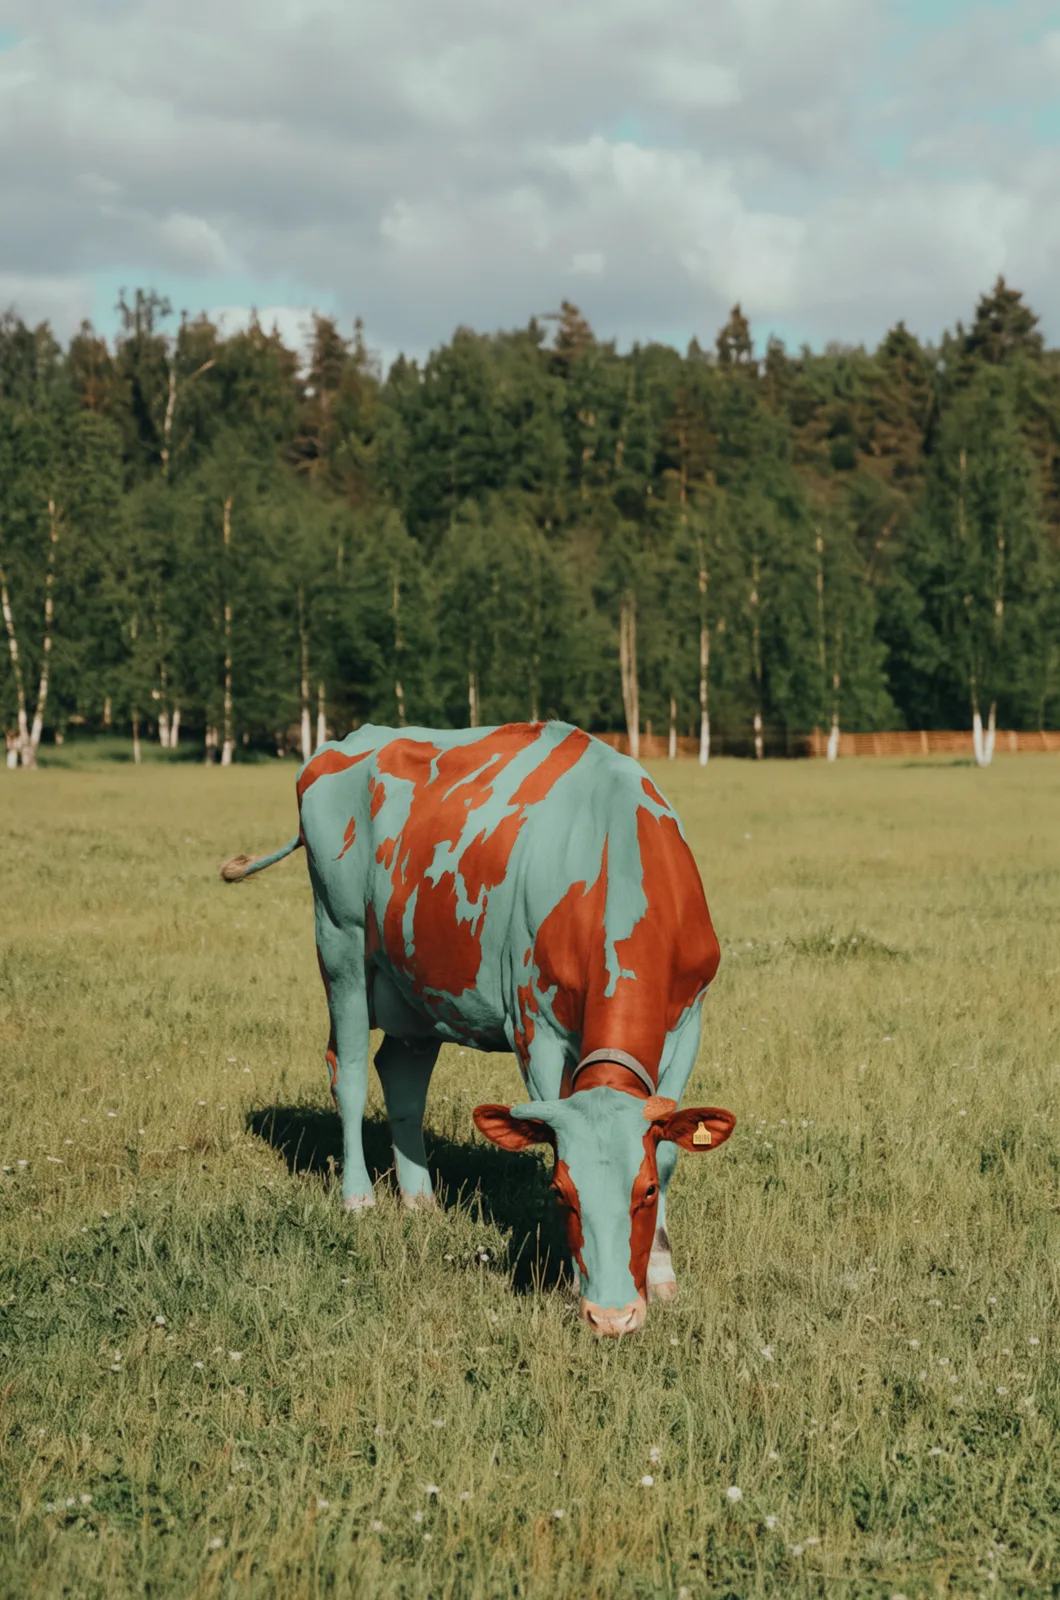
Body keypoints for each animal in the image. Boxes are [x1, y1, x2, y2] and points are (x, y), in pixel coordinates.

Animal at [221, 720, 734, 1336]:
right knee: (349, 1073)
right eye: (561, 1192)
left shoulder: (690, 1020)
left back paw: (419, 1198)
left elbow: (671, 1151)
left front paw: (660, 1275)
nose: (611, 1317)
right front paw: (570, 1279)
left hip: (416, 985)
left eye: (647, 1191)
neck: (616, 857)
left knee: (401, 1074)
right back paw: (359, 1198)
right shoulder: (535, 1028)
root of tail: (345, 742)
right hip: (340, 943)